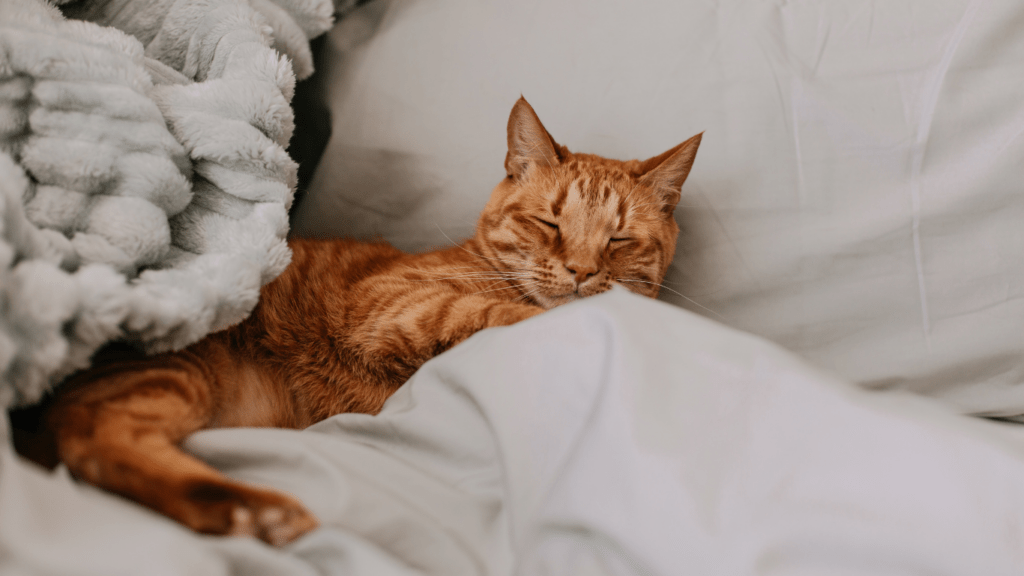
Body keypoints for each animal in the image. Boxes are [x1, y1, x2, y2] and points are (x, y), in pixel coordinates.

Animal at [44, 97, 700, 541]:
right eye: (549, 223)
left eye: (618, 240)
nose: (583, 272)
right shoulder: (387, 303)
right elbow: (497, 311)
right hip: (175, 370)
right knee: (95, 442)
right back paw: (254, 510)